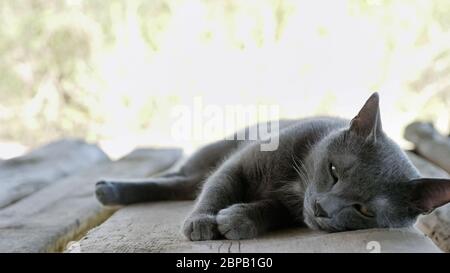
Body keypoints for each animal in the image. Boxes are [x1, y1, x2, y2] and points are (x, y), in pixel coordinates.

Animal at [95, 93, 450, 240]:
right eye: (334, 171)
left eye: (363, 210)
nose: (321, 208)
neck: (297, 179)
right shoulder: (238, 165)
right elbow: (217, 189)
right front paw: (201, 222)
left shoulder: (290, 208)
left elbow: (271, 210)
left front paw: (239, 220)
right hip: (213, 150)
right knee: (183, 180)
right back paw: (109, 189)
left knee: (182, 185)